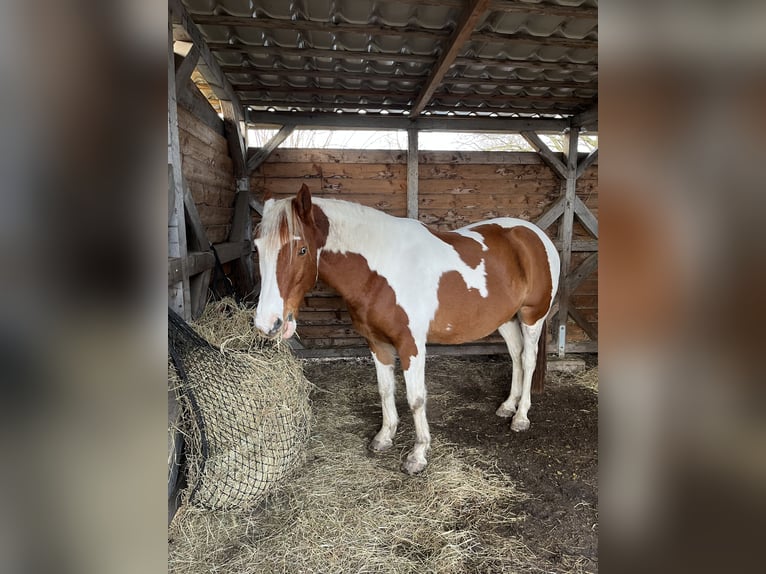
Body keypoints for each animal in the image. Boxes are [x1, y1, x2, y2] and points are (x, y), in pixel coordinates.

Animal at [254, 184, 560, 475]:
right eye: (257, 248)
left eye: (302, 249)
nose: (267, 323)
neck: (381, 270)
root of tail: (535, 235)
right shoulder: (377, 343)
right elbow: (385, 389)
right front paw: (384, 437)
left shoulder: (411, 345)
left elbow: (416, 399)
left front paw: (418, 455)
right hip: (505, 320)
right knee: (516, 356)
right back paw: (508, 406)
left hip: (532, 317)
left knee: (528, 359)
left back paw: (521, 417)